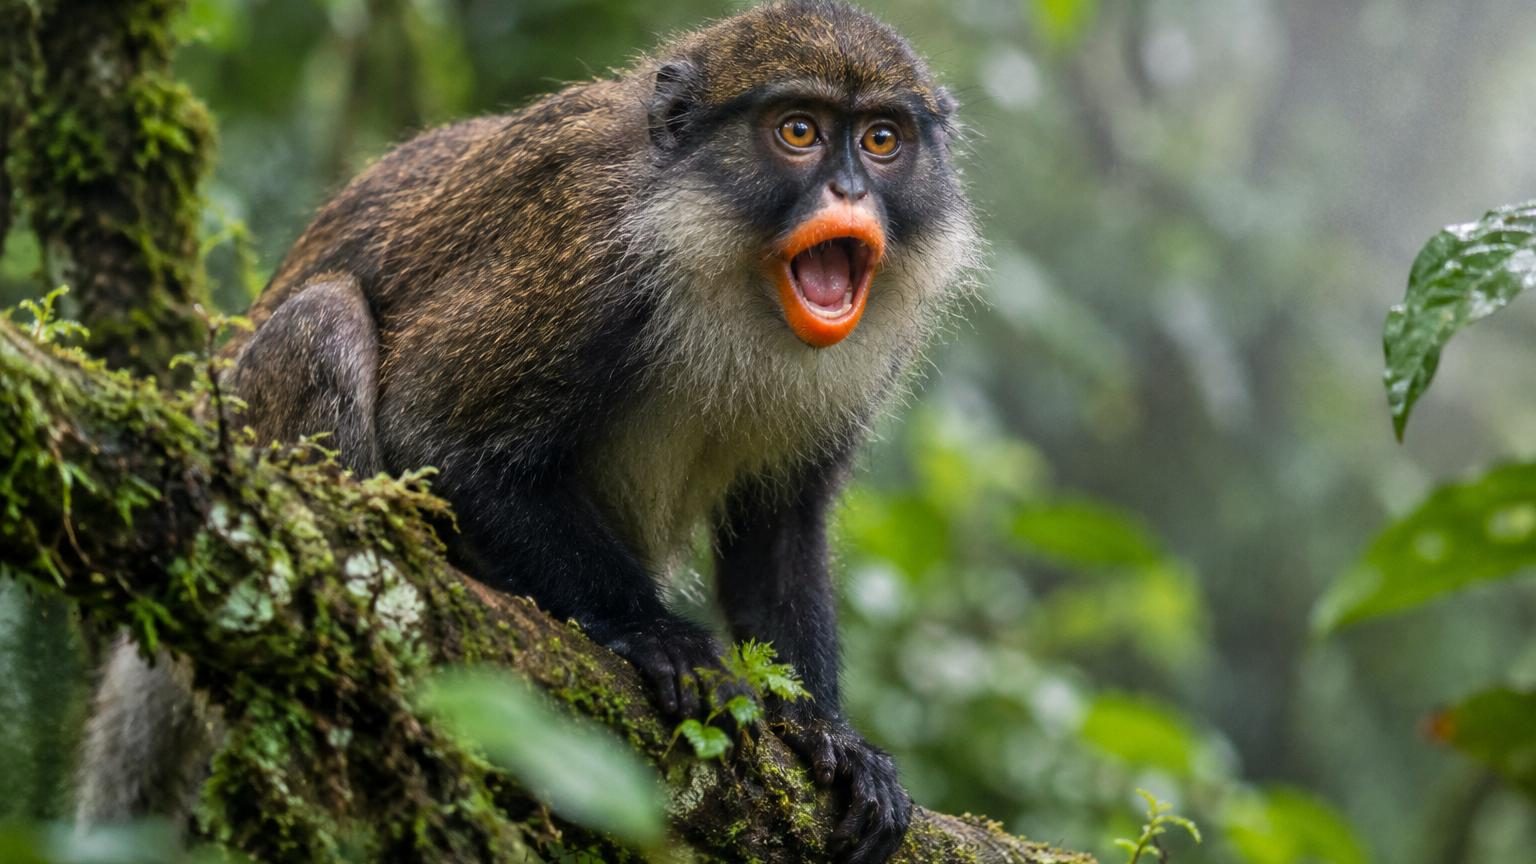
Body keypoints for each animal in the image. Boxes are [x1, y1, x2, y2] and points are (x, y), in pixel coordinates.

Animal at [75, 3, 979, 861]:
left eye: (882, 139)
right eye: (799, 131)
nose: (850, 194)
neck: (726, 269)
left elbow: (779, 531)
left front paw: (833, 736)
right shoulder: (584, 253)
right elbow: (434, 431)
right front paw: (655, 634)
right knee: (326, 320)